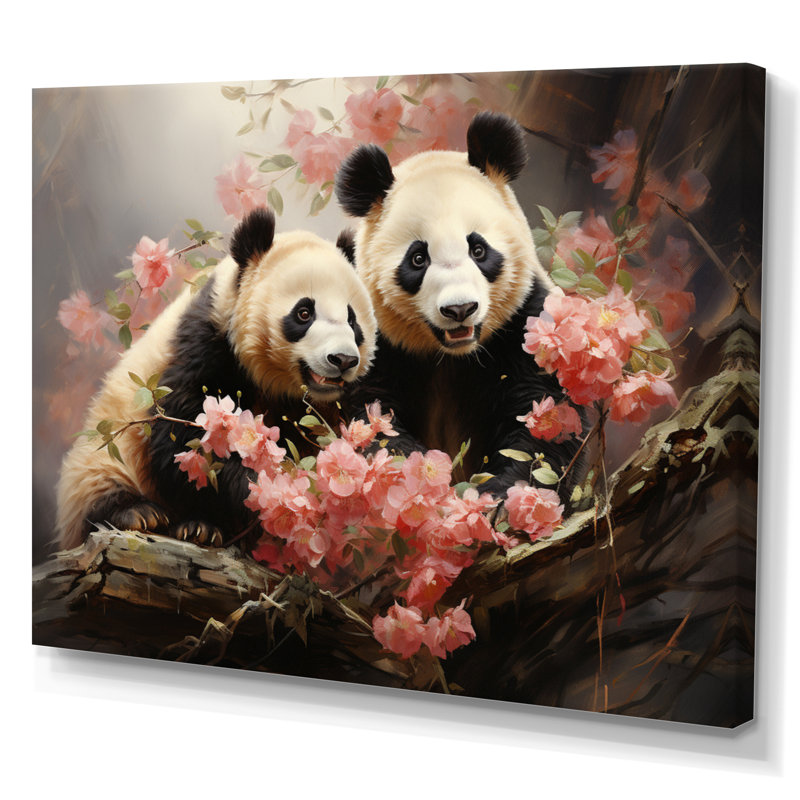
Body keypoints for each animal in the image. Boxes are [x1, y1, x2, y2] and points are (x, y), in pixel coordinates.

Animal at [56, 208, 377, 550]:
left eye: (352, 319)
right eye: (304, 313)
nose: (343, 360)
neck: (278, 381)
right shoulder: (206, 342)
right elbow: (186, 437)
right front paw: (261, 486)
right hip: (108, 444)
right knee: (95, 482)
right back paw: (146, 515)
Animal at [335, 111, 584, 498]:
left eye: (478, 249)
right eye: (418, 258)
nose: (459, 309)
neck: (453, 356)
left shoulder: (527, 325)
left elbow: (546, 420)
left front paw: (500, 497)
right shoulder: (374, 341)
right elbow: (375, 418)